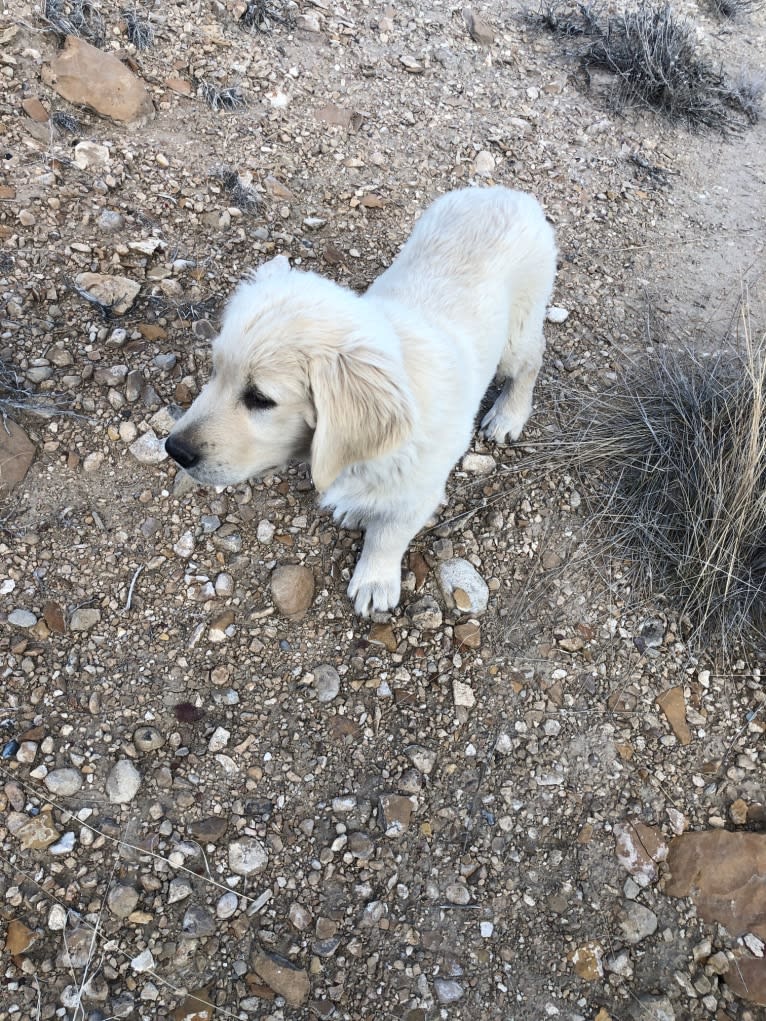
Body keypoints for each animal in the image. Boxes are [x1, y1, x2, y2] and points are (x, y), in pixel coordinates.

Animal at [165, 185, 555, 612]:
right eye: (214, 371)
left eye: (259, 398)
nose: (174, 450)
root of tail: (507, 192)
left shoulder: (418, 493)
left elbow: (388, 535)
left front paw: (375, 580)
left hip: (517, 333)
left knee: (532, 359)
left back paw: (508, 415)